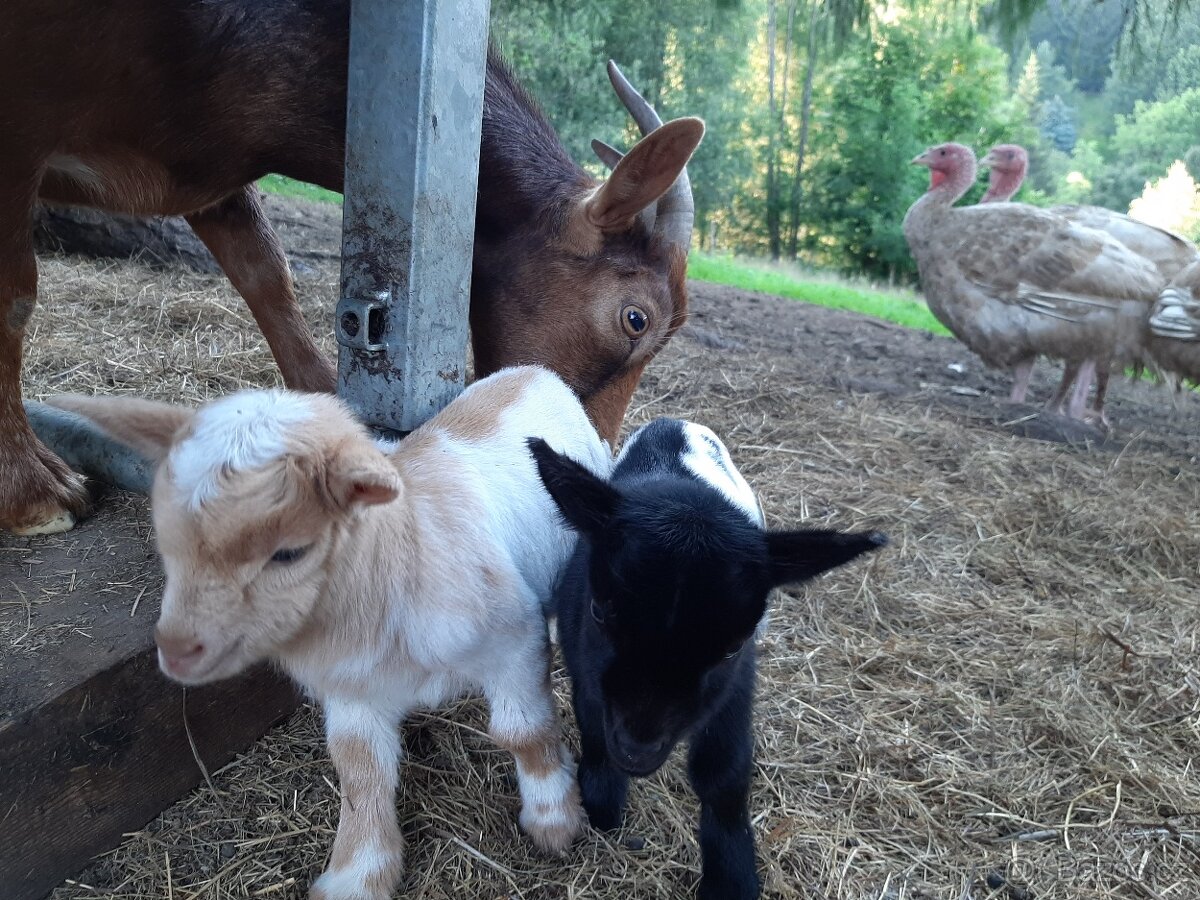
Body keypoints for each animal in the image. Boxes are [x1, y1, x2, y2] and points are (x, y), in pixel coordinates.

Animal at [0, 0, 700, 535]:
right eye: (636, 319)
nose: (594, 461)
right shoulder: (20, 128)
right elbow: (14, 295)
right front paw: (34, 490)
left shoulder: (208, 173)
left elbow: (266, 271)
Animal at [45, 367, 609, 900]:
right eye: (166, 540)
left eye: (290, 552)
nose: (177, 651)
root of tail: (531, 371)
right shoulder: (351, 688)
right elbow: (360, 771)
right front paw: (357, 874)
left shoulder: (513, 641)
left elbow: (522, 732)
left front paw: (555, 819)